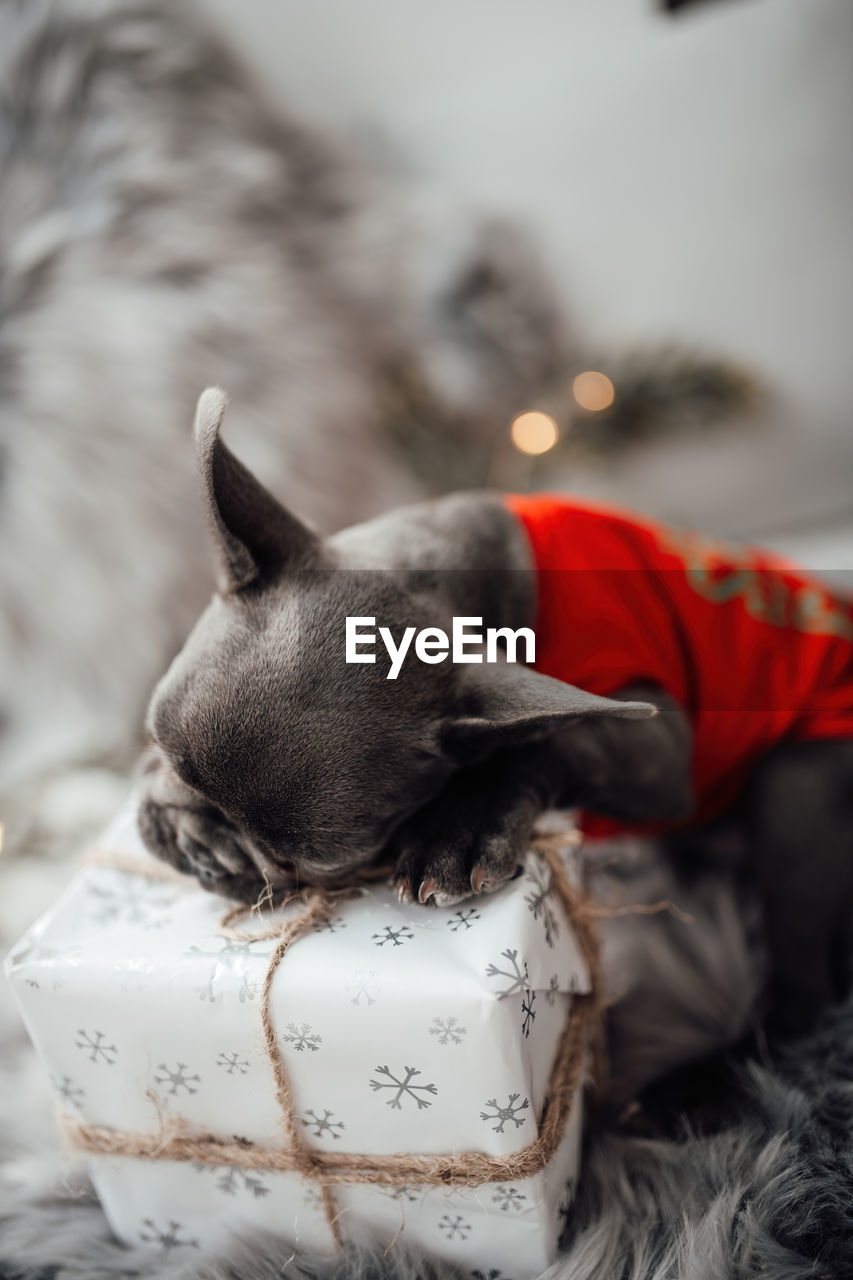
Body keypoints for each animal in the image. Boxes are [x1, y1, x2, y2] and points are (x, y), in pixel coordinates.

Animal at [139, 386, 850, 1029]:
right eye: (163, 750)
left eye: (305, 866)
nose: (211, 851)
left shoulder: (661, 752)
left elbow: (556, 740)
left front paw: (461, 828)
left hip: (794, 785)